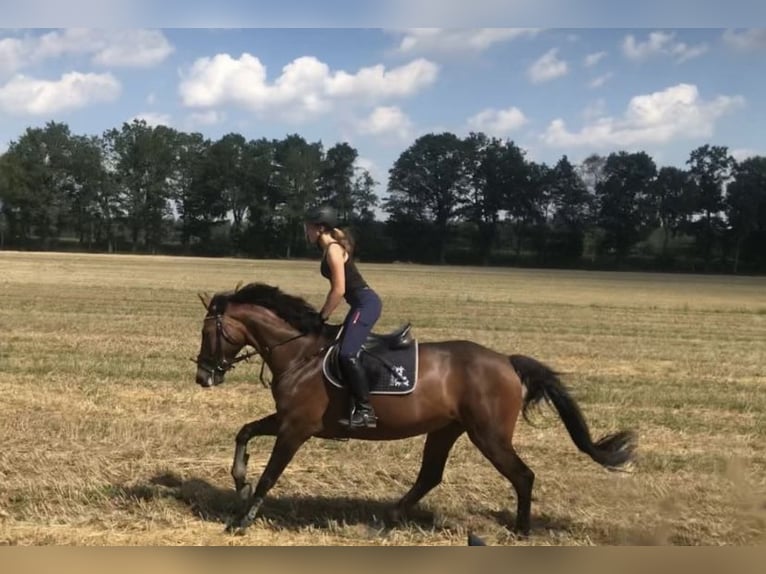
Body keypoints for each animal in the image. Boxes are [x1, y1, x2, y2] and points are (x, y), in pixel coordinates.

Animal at [195, 284, 640, 540]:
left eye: (207, 332)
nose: (203, 376)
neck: (300, 353)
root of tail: (507, 362)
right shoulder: (287, 421)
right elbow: (244, 432)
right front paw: (240, 485)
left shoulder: (296, 428)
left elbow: (271, 473)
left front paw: (242, 520)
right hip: (446, 429)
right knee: (430, 476)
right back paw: (384, 521)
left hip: (488, 435)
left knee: (523, 475)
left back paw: (522, 531)